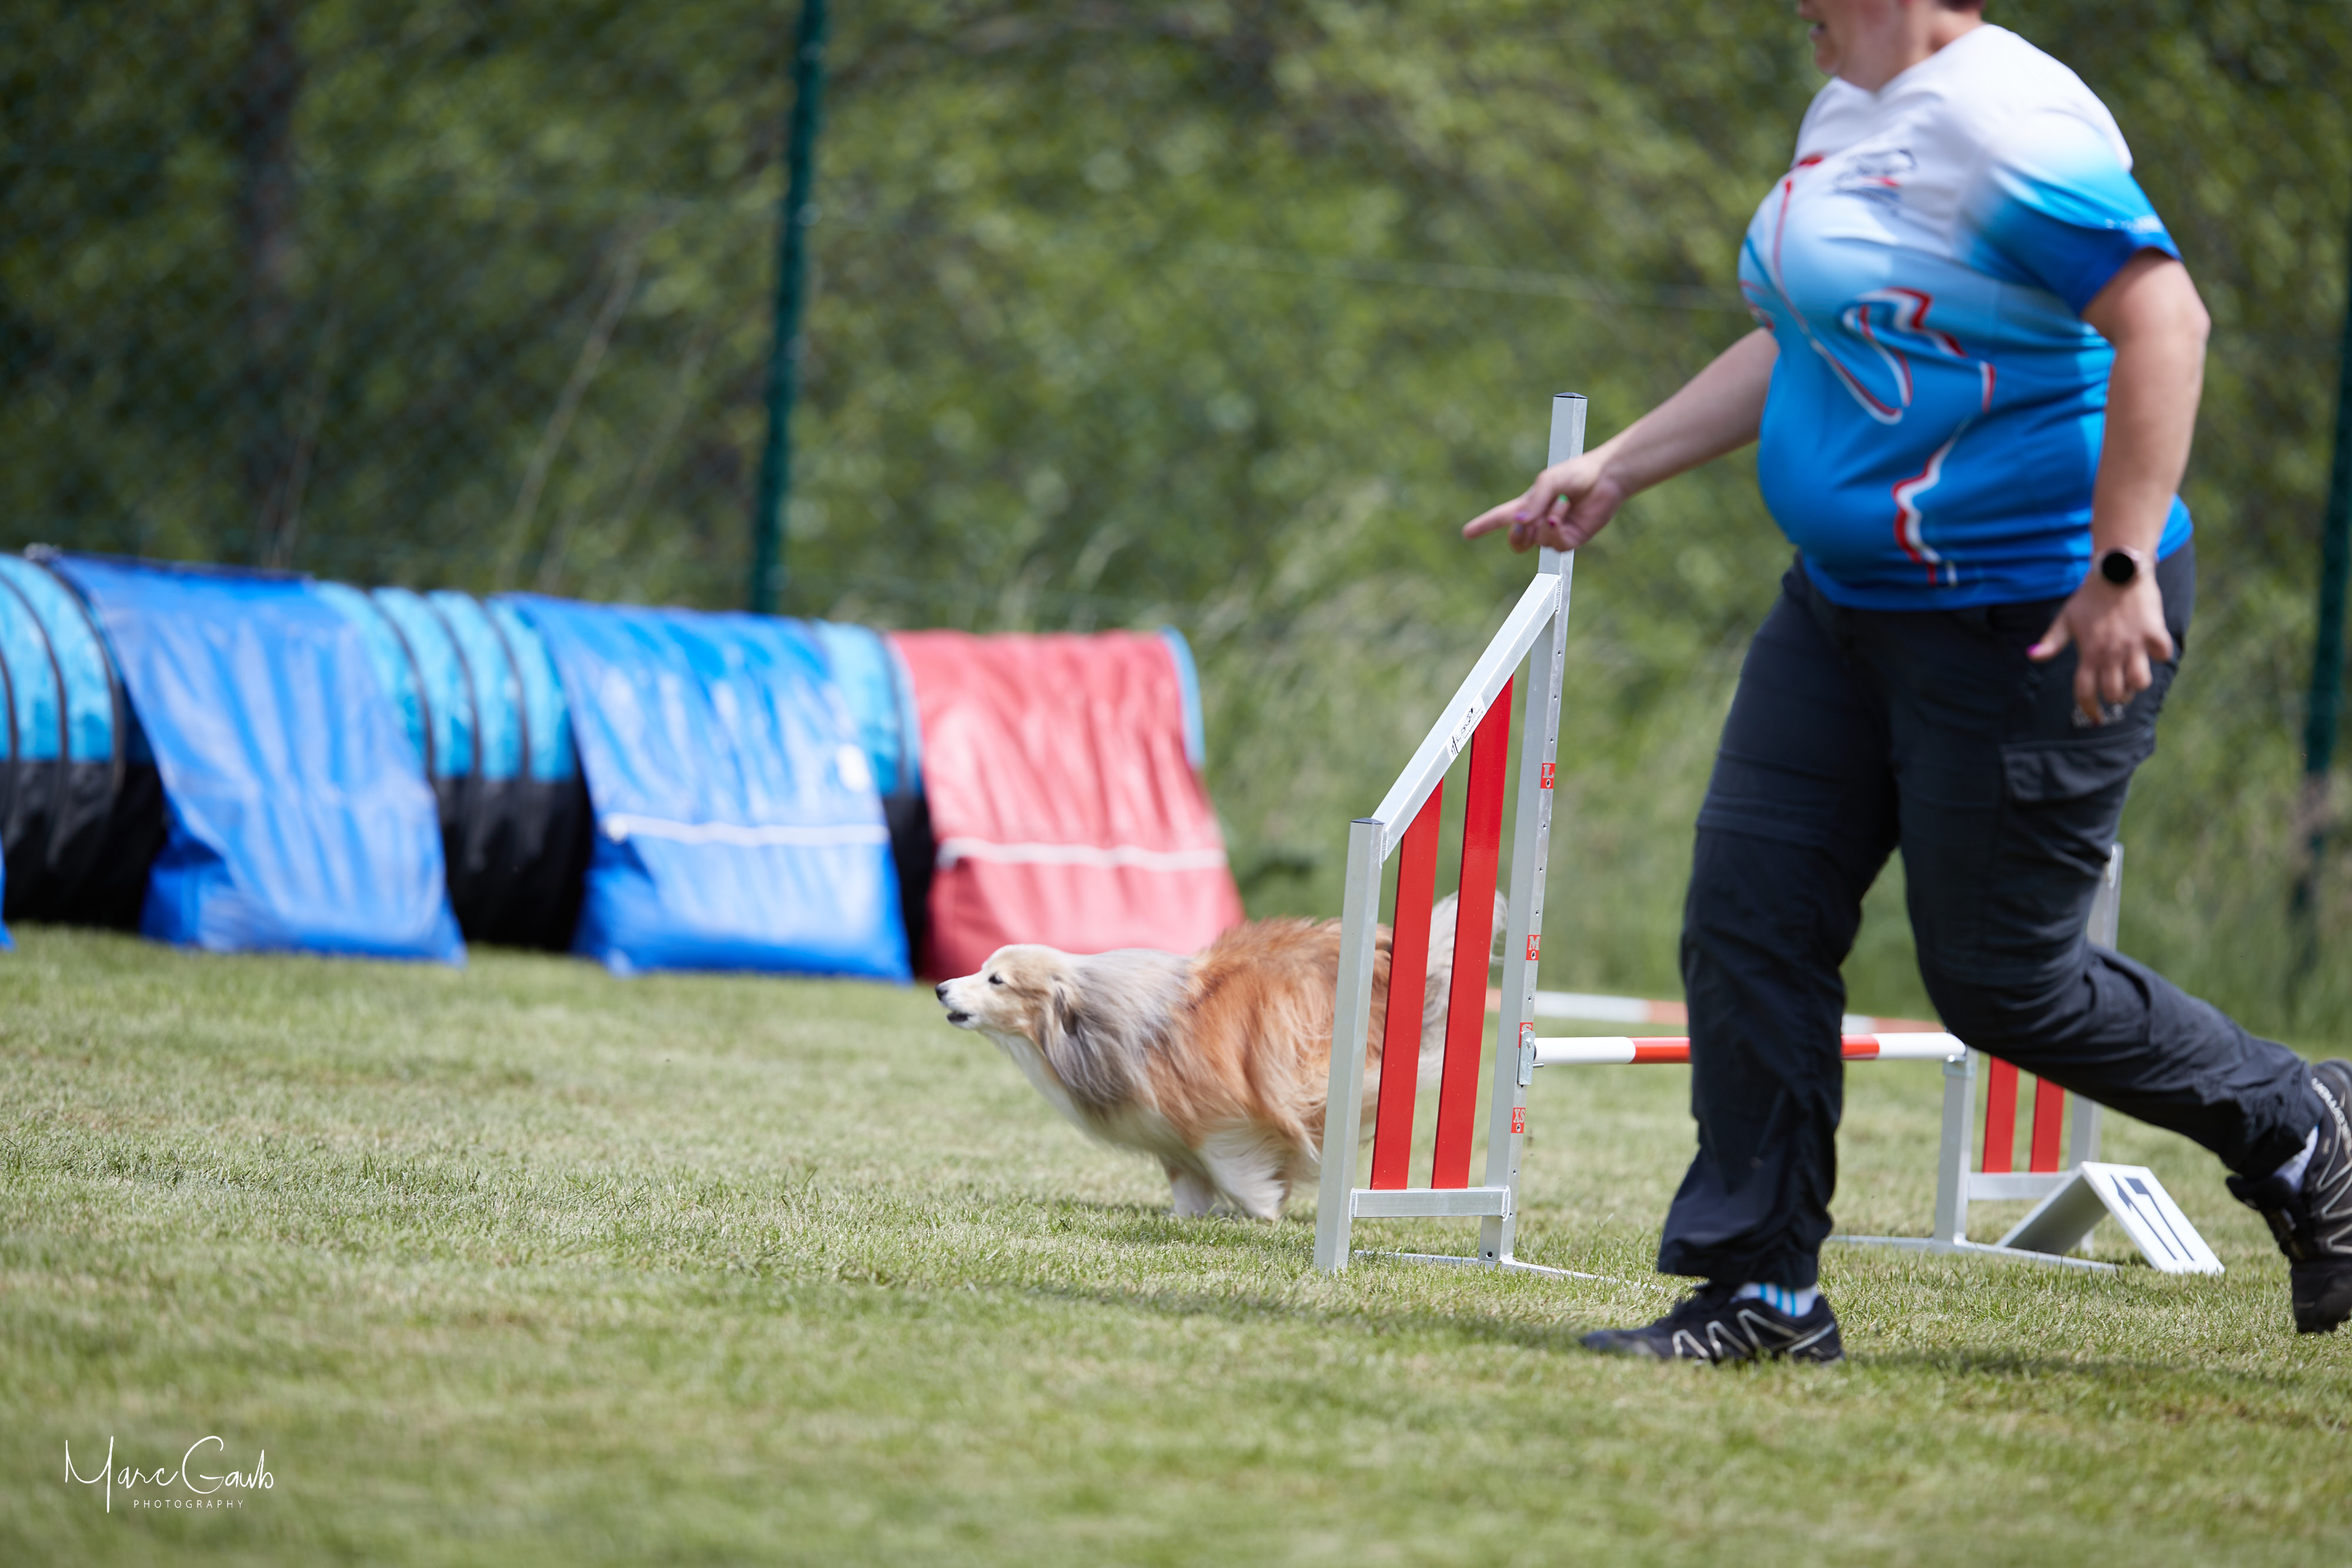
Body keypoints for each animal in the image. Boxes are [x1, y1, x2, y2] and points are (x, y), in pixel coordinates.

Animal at [935, 892, 1498, 1219]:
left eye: (996, 979)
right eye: (981, 967)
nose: (940, 987)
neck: (1095, 1018)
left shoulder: (1215, 1121)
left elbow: (1235, 1169)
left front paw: (1265, 1206)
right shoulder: (1167, 1136)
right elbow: (1186, 1184)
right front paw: (1186, 1217)